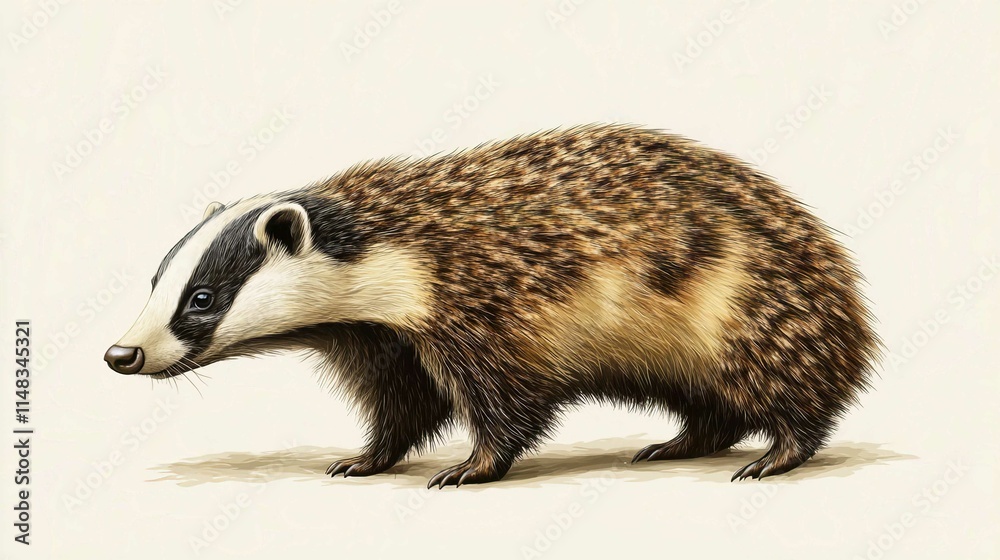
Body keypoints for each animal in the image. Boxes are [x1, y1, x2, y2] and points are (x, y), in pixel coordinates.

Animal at [105, 124, 881, 487]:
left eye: (202, 298)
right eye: (157, 280)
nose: (121, 353)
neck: (392, 249)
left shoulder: (479, 302)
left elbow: (506, 396)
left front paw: (470, 468)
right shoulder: (379, 335)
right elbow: (403, 401)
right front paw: (365, 458)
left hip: (736, 304)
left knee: (777, 385)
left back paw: (777, 453)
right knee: (709, 403)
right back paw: (674, 443)